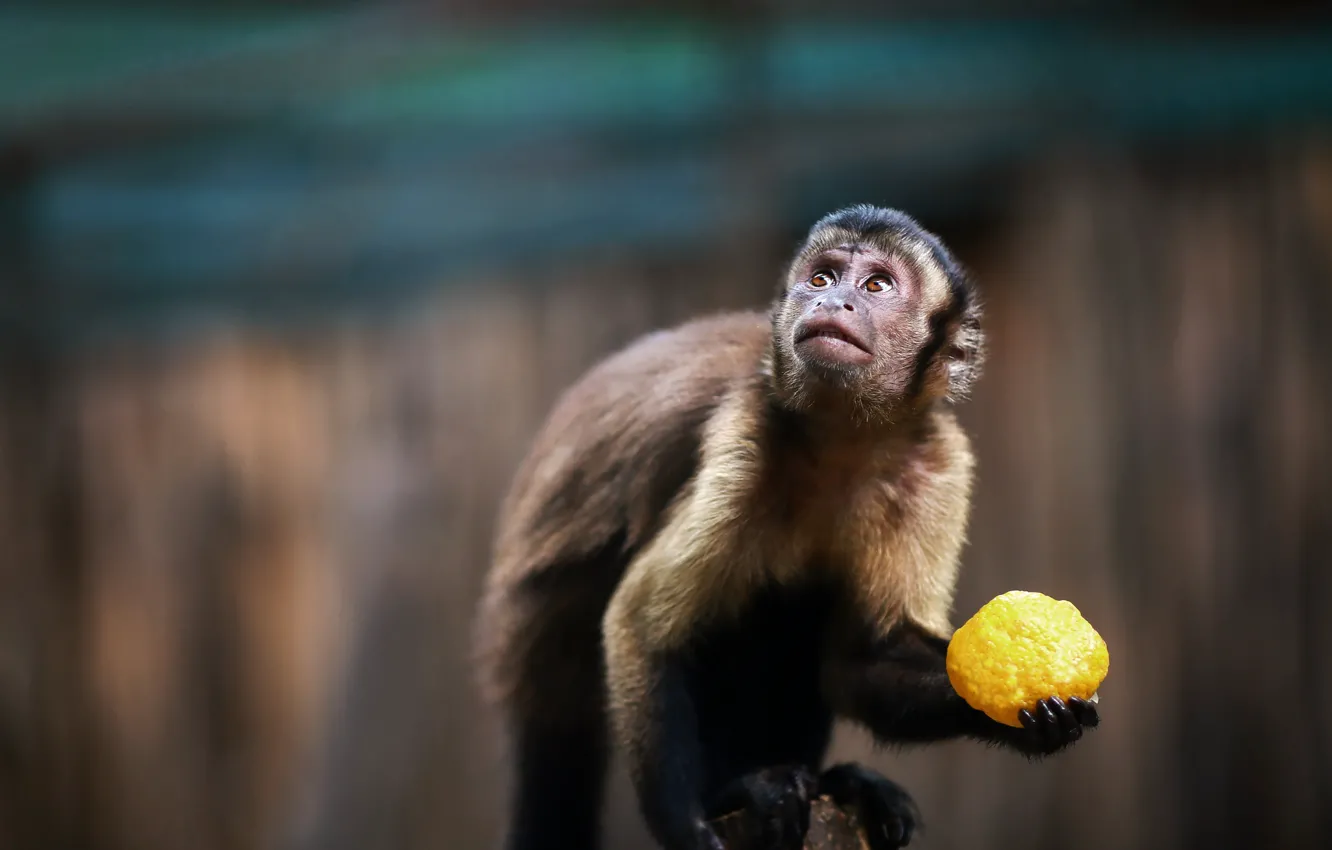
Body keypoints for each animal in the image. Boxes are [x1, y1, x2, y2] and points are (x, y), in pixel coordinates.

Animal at [475, 205, 1099, 850]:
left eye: (877, 286)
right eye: (822, 277)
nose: (833, 301)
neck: (845, 441)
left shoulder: (939, 463)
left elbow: (864, 661)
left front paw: (1030, 721)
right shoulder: (747, 432)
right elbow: (642, 625)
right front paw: (686, 823)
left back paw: (835, 783)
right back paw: (738, 790)